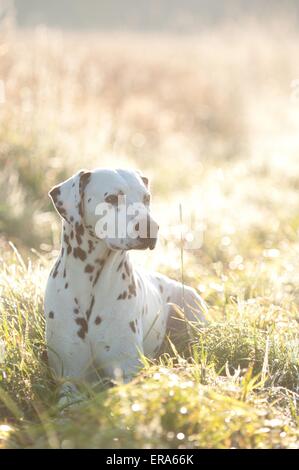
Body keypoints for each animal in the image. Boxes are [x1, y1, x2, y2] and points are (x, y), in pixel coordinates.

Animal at [44, 167, 207, 398]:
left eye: (146, 198)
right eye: (112, 198)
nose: (151, 227)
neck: (92, 284)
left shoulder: (128, 372)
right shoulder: (69, 376)